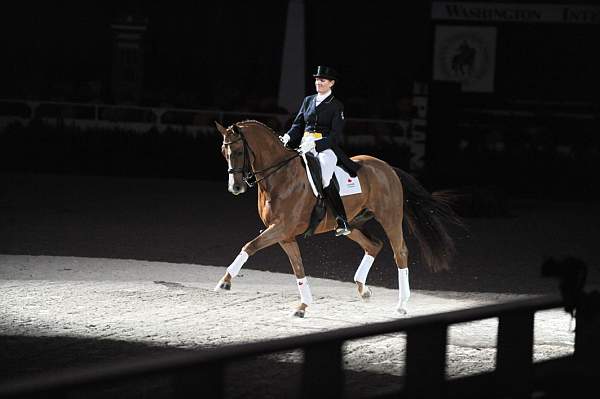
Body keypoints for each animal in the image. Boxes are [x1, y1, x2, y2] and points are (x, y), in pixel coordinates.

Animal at [214, 119, 460, 318]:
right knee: (374, 245)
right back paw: (363, 289)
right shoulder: (284, 234)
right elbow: (297, 267)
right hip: (352, 223)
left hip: (390, 218)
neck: (280, 176)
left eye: (238, 152)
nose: (235, 187)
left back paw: (401, 304)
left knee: (399, 252)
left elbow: (250, 246)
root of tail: (387, 168)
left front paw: (224, 282)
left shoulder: (281, 228)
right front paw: (303, 306)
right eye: (224, 152)